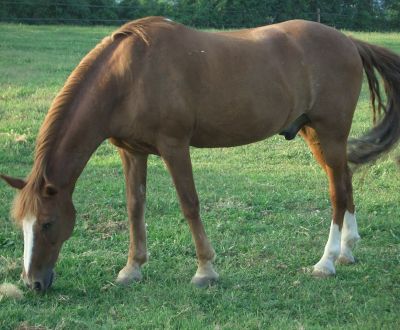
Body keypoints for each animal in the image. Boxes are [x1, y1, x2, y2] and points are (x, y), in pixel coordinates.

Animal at [0, 17, 400, 292]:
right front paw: (132, 268)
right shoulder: (131, 152)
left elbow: (189, 204)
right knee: (345, 183)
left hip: (329, 133)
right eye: (21, 225)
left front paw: (205, 270)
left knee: (336, 194)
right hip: (315, 135)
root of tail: (347, 41)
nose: (33, 284)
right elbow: (134, 207)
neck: (130, 75)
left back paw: (326, 262)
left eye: (47, 223)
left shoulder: (174, 146)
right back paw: (347, 251)